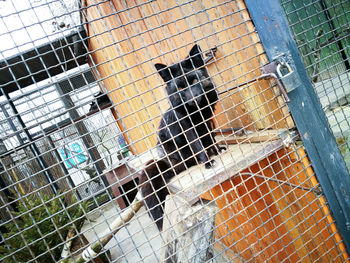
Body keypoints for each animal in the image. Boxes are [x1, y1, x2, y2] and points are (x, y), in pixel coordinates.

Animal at [137, 43, 223, 231]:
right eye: (181, 88)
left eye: (195, 81)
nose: (195, 100)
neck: (196, 114)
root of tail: (169, 164)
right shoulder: (188, 129)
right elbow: (199, 146)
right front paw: (207, 162)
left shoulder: (207, 121)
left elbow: (210, 139)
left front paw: (217, 150)